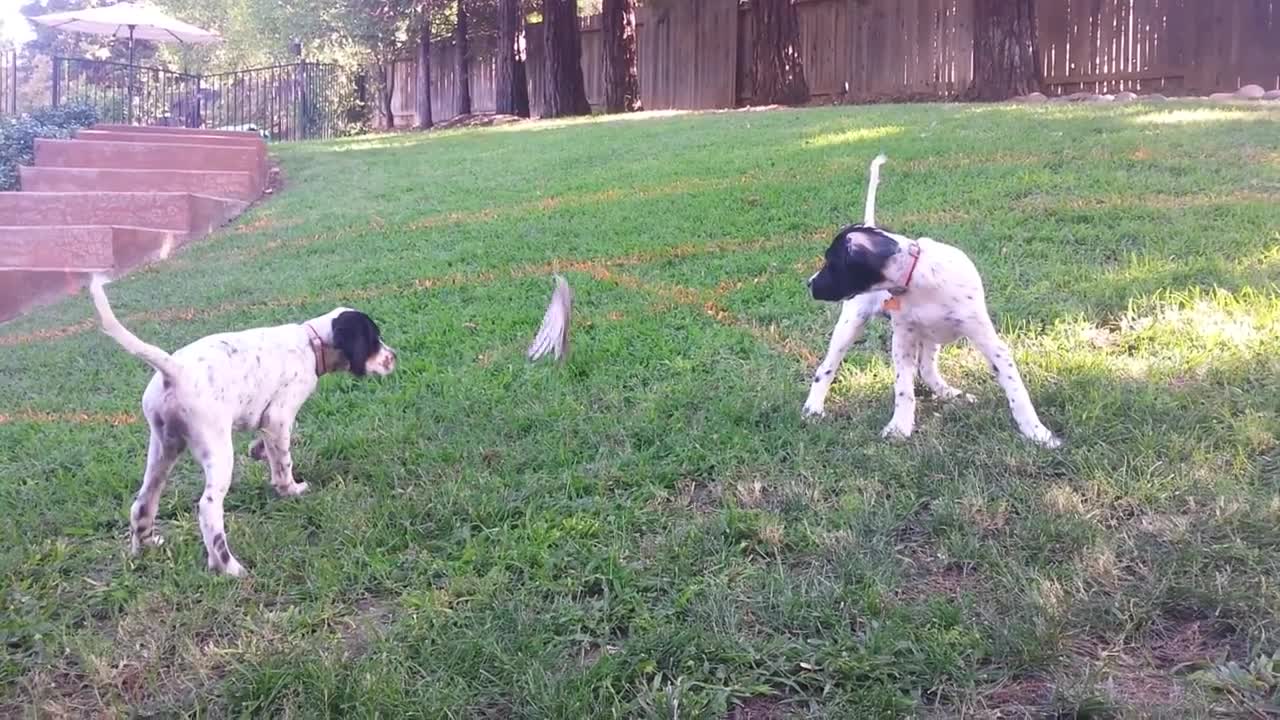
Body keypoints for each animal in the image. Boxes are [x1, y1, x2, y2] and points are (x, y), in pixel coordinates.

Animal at [89, 274, 394, 571]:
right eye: (374, 340)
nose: (394, 357)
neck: (312, 344)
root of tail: (175, 370)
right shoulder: (279, 415)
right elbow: (284, 460)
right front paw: (290, 489)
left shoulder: (269, 421)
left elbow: (273, 446)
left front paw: (259, 451)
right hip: (217, 450)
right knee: (208, 508)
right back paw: (228, 567)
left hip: (164, 448)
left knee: (142, 503)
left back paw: (145, 547)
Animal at [798, 155, 1059, 445]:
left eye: (830, 263)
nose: (809, 283)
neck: (917, 278)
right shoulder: (903, 339)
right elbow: (903, 388)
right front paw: (900, 427)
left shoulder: (989, 341)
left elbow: (1016, 390)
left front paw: (1037, 433)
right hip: (852, 323)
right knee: (826, 368)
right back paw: (813, 408)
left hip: (933, 336)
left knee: (927, 370)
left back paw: (952, 394)